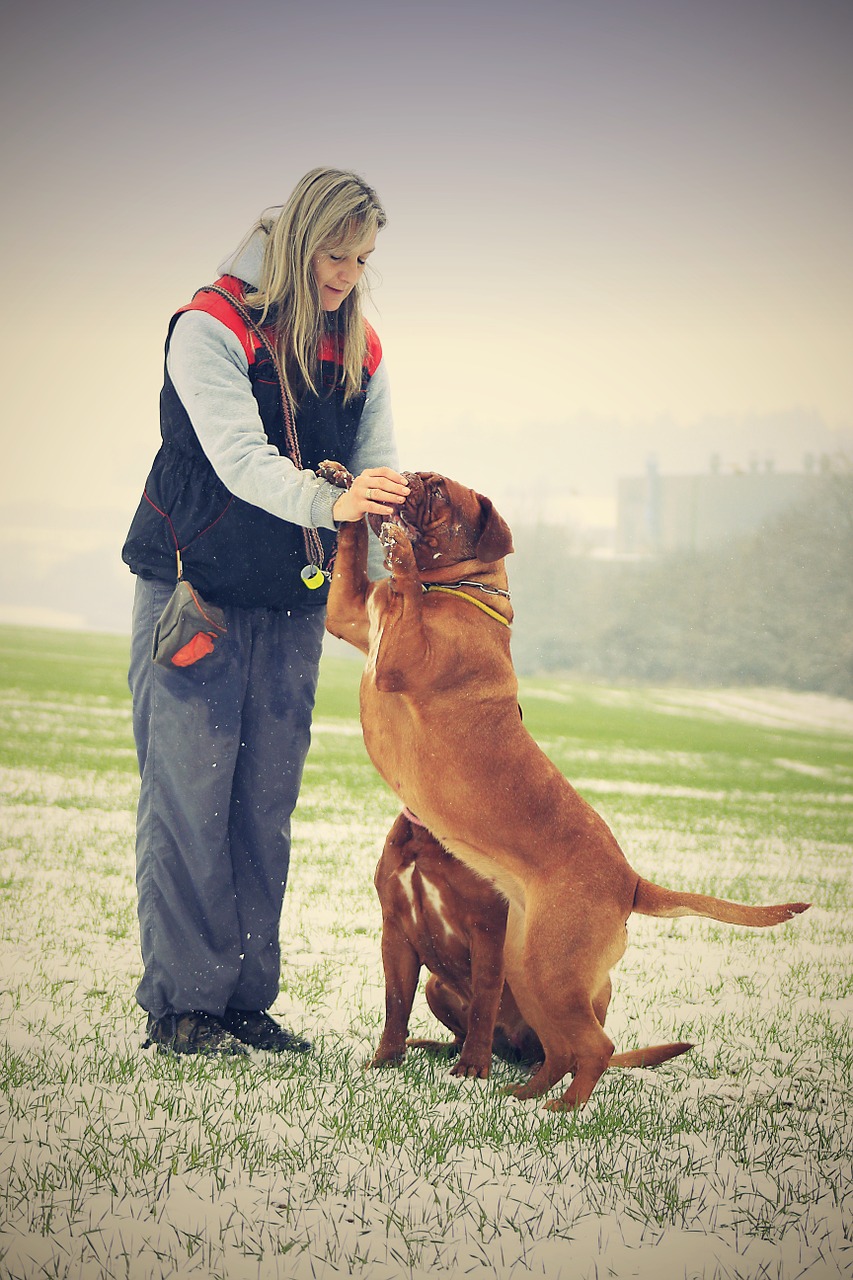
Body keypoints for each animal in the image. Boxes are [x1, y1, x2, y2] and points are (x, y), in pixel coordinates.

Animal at [322, 465, 809, 1105]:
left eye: (441, 491)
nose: (409, 478)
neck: (450, 590)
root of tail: (631, 881)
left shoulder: (400, 658)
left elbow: (400, 580)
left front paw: (399, 546)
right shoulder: (350, 616)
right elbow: (351, 552)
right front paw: (343, 487)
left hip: (548, 969)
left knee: (595, 1047)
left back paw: (562, 1109)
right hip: (528, 968)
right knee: (559, 1048)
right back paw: (525, 1098)